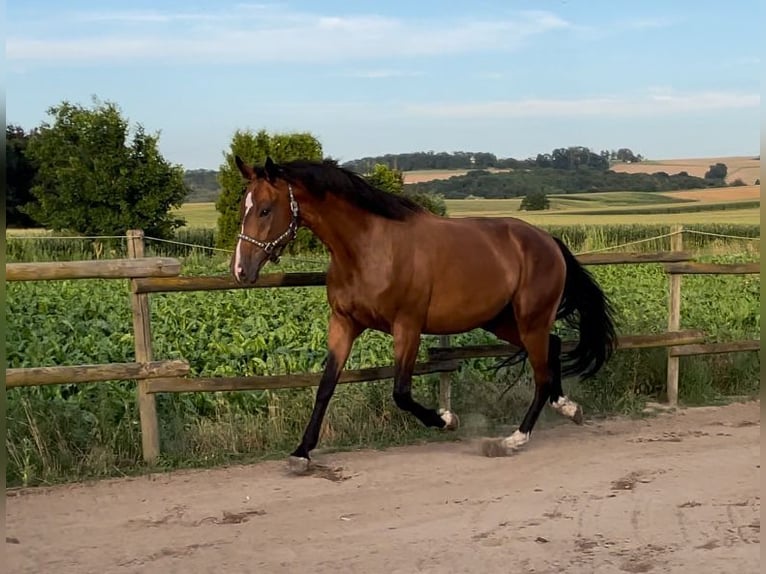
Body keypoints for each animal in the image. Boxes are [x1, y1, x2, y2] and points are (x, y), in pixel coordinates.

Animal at [230, 156, 616, 472]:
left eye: (265, 209)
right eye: (243, 208)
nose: (240, 270)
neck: (369, 248)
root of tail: (548, 240)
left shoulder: (407, 326)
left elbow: (401, 392)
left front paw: (447, 419)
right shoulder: (343, 324)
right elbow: (325, 386)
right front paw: (301, 452)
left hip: (529, 319)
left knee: (541, 374)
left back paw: (513, 439)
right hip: (503, 321)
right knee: (554, 347)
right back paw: (568, 408)